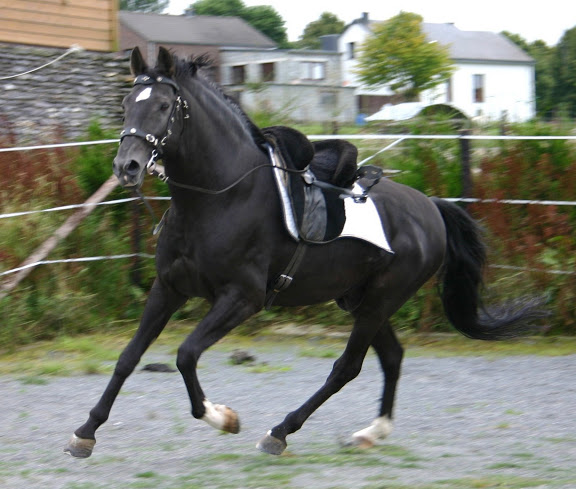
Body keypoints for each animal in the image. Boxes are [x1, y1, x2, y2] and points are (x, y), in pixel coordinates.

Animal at [64, 47, 544, 456]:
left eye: (164, 107)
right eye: (127, 104)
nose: (126, 167)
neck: (220, 196)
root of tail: (431, 207)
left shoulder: (242, 298)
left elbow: (185, 355)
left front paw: (223, 418)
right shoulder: (168, 288)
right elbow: (128, 357)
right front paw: (85, 432)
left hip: (381, 299)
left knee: (347, 367)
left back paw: (281, 431)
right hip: (360, 299)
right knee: (391, 357)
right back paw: (372, 432)